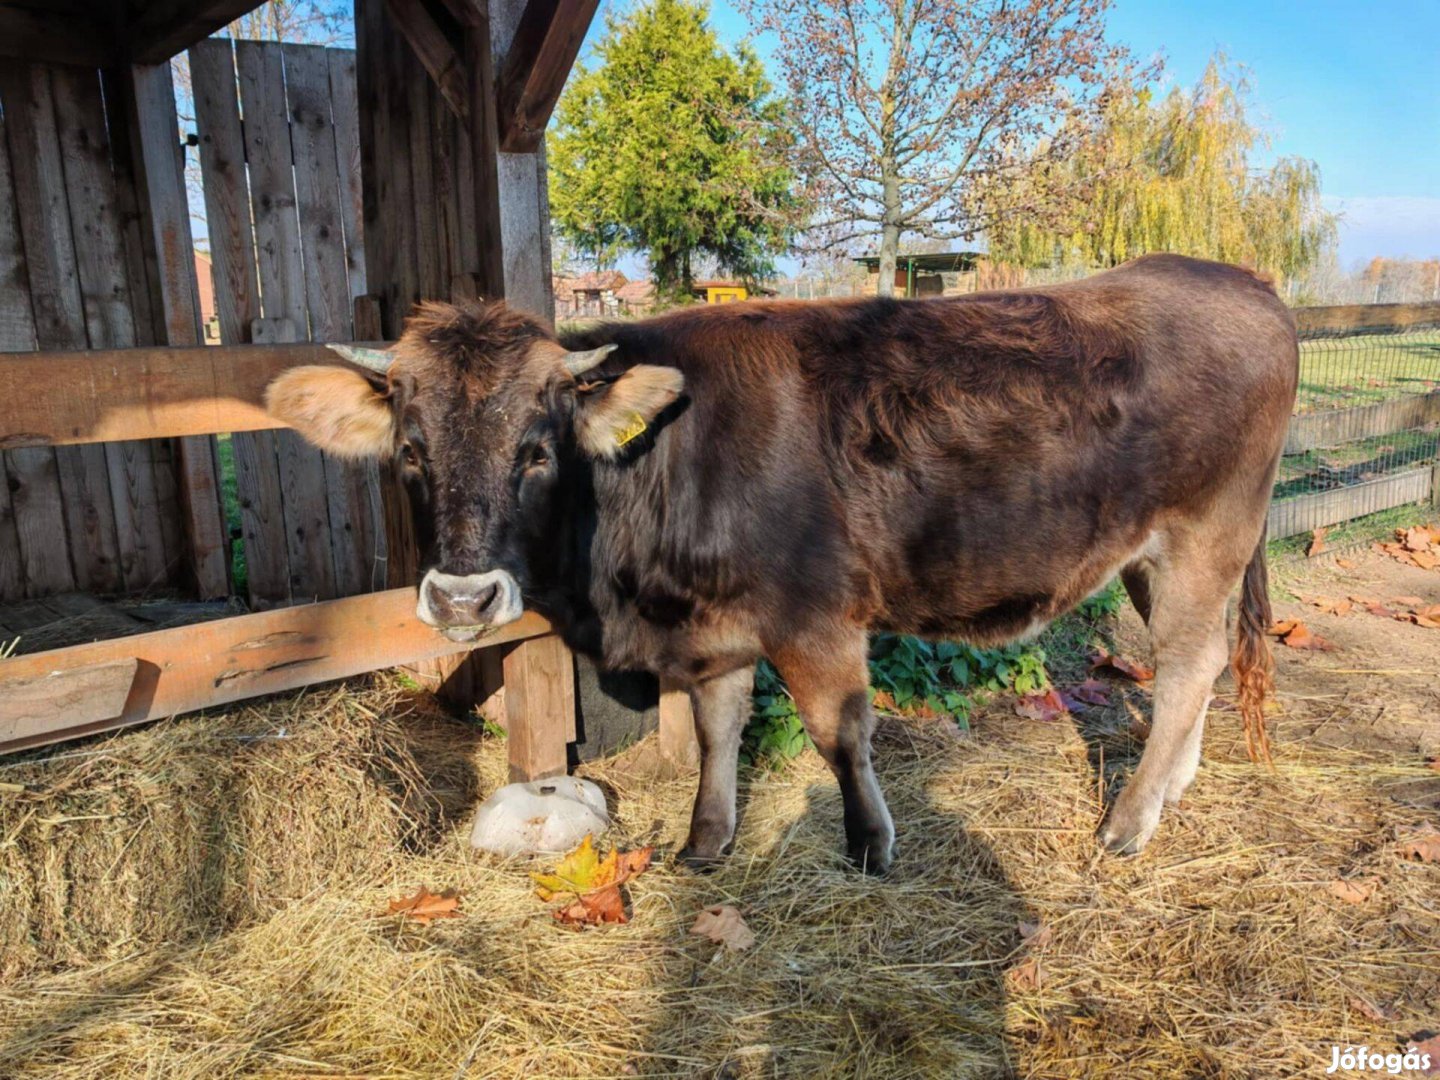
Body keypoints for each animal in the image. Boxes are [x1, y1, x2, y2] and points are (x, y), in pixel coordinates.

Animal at [267, 256, 1296, 881]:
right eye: (410, 451)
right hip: (1154, 557)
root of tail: (1235, 278)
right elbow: (717, 730)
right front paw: (706, 840)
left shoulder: (814, 617)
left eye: (538, 449)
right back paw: (1170, 789)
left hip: (1207, 535)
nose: (462, 595)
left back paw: (1126, 823)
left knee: (1190, 665)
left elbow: (839, 734)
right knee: (1197, 668)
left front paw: (871, 844)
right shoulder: (718, 627)